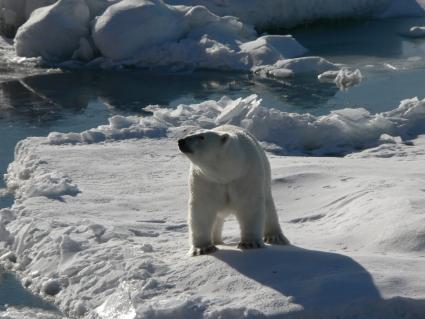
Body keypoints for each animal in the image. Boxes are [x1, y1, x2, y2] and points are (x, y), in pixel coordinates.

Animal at [177, 124, 290, 256]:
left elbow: (249, 204)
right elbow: (203, 208)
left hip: (265, 177)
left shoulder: (245, 175)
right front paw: (203, 248)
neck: (227, 174)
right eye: (191, 133)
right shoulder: (205, 179)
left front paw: (250, 243)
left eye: (201, 137)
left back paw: (275, 237)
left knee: (268, 206)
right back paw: (217, 241)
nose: (181, 141)